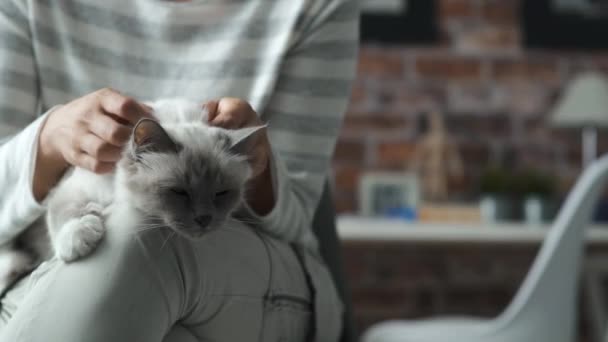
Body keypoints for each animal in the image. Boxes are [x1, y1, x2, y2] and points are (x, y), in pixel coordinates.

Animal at [0, 98, 264, 292]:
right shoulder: (69, 190)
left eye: (222, 193)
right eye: (179, 192)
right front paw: (79, 237)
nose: (204, 219)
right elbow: (64, 216)